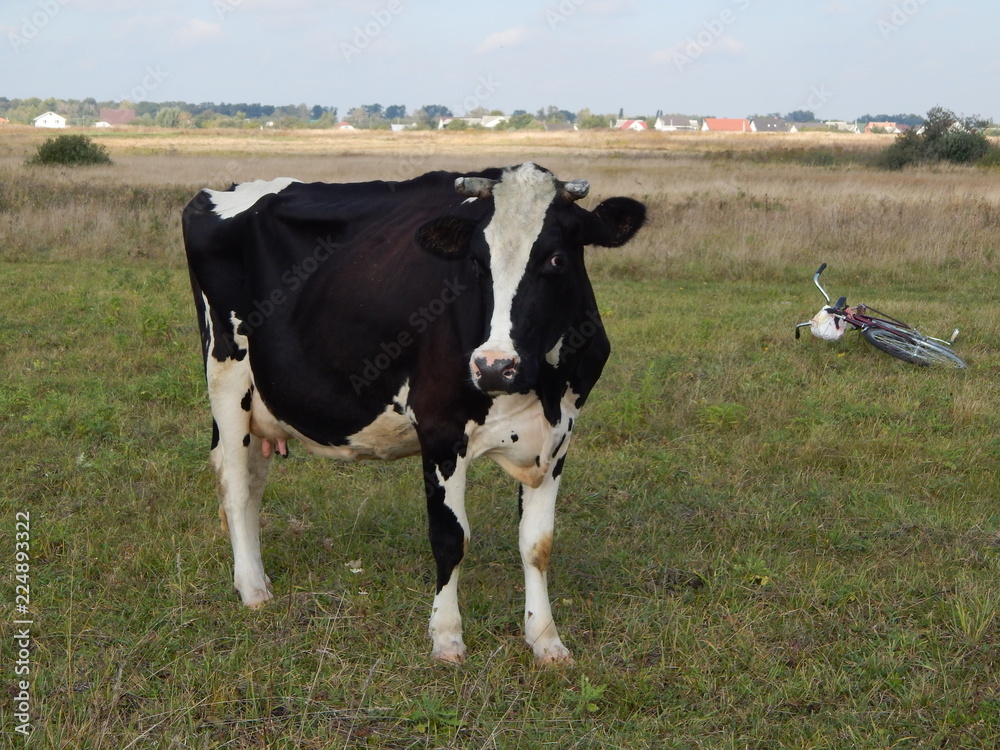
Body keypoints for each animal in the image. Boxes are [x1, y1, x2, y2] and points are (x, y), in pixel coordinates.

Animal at [182, 162, 646, 665]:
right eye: (477, 263)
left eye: (557, 259)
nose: (493, 365)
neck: (541, 385)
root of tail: (224, 190)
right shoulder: (440, 428)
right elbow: (451, 538)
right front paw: (446, 636)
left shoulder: (559, 434)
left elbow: (537, 544)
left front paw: (546, 640)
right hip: (226, 376)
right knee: (233, 484)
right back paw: (251, 589)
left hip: (264, 405)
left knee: (251, 483)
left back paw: (255, 574)